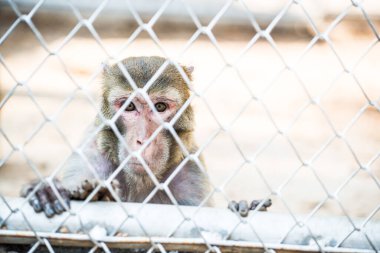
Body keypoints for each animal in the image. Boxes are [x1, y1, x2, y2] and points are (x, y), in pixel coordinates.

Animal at [21, 56, 270, 218]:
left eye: (160, 107)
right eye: (130, 106)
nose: (143, 139)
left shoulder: (190, 168)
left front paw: (246, 206)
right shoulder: (91, 153)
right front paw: (46, 191)